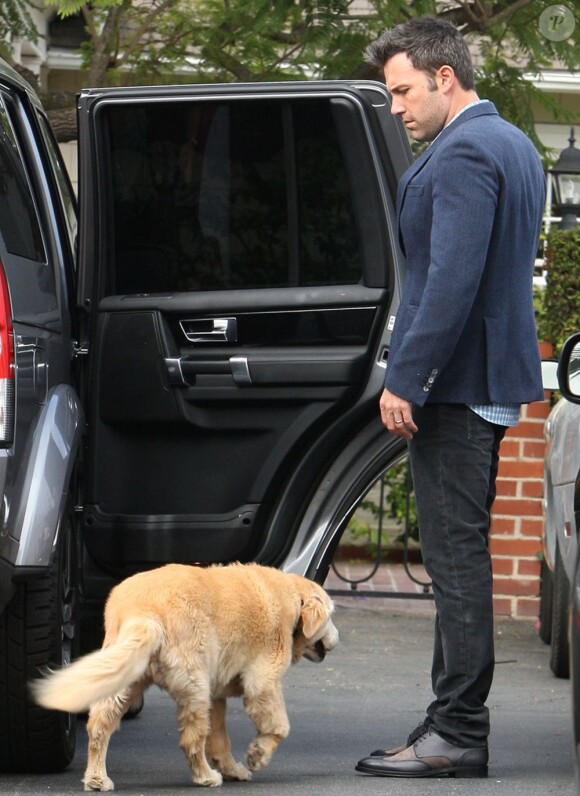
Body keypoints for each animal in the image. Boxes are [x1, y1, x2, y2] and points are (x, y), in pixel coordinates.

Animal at [31, 564, 338, 792]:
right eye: (332, 615)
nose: (338, 638)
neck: (292, 595)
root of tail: (144, 613)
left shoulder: (217, 694)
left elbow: (221, 739)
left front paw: (233, 768)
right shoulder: (263, 680)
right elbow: (279, 725)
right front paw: (257, 755)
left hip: (125, 674)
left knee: (99, 723)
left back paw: (96, 778)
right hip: (193, 680)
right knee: (191, 739)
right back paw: (205, 776)